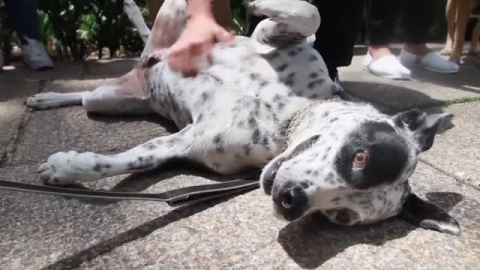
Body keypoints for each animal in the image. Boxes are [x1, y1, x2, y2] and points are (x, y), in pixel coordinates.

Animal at [24, 0, 460, 234]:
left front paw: (66, 168)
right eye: (361, 156)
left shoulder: (188, 140)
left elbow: (129, 159)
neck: (285, 116)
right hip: (174, 16)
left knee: (85, 97)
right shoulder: (274, 37)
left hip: (110, 100)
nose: (290, 201)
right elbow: (309, 14)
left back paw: (47, 98)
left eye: (340, 215)